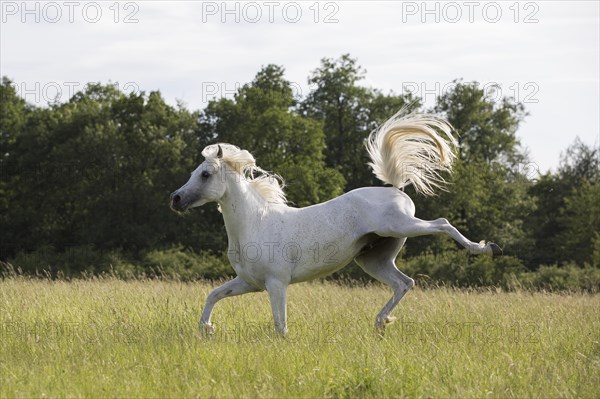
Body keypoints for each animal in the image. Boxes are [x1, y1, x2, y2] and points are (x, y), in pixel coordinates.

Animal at [172, 111, 502, 336]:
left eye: (205, 174)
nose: (175, 199)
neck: (255, 224)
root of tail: (395, 188)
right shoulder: (249, 283)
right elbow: (213, 294)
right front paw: (207, 328)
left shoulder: (276, 284)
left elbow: (280, 325)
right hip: (374, 258)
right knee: (404, 283)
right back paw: (380, 324)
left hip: (402, 226)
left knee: (443, 224)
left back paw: (487, 249)